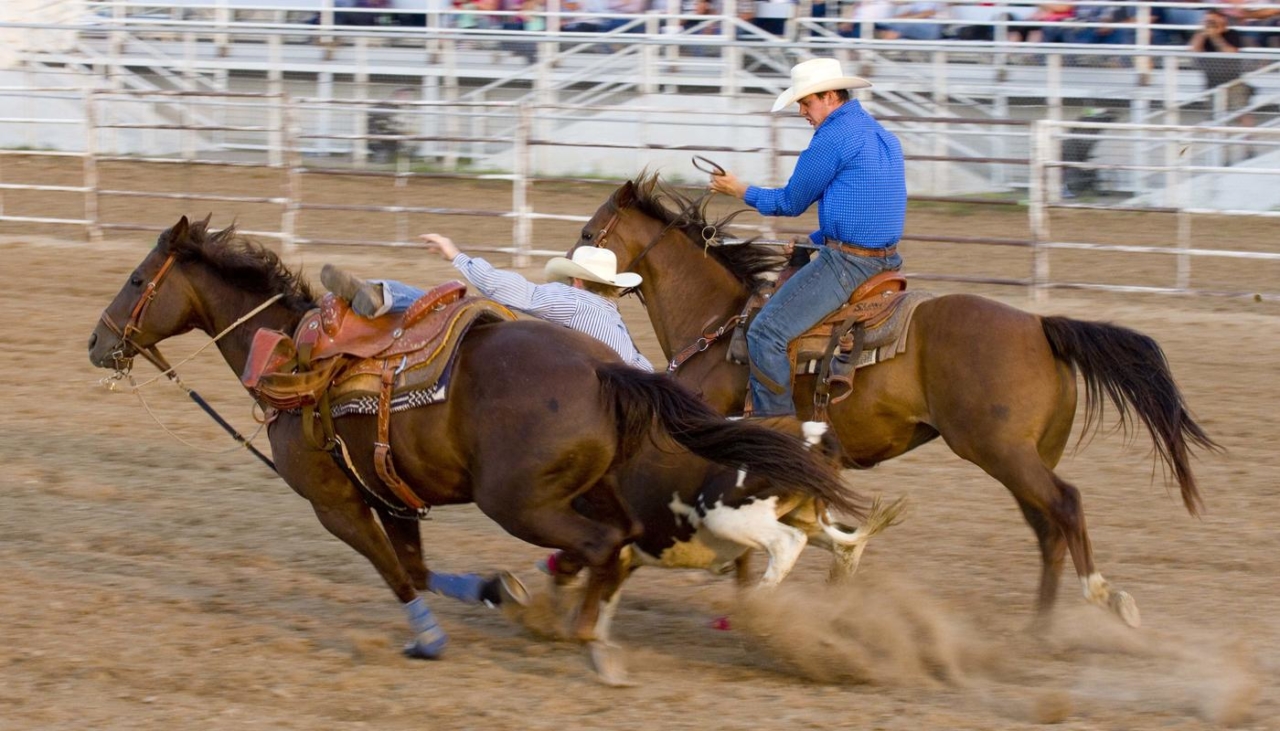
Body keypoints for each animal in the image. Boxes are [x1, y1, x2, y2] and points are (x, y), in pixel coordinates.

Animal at [85, 216, 865, 681]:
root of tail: (604, 372)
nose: (97, 343)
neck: (291, 357)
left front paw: (432, 636)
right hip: (581, 489)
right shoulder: (392, 498)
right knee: (614, 547)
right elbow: (419, 568)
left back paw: (588, 635)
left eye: (136, 280)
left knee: (604, 544)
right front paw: (493, 589)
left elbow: (398, 576)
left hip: (516, 500)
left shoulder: (336, 504)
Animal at [573, 172, 1218, 629]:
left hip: (1002, 452)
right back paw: (1038, 630)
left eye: (588, 234)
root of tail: (1039, 326)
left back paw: (1103, 599)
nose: (572, 274)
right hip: (1026, 456)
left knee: (1067, 506)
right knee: (1047, 526)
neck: (719, 323)